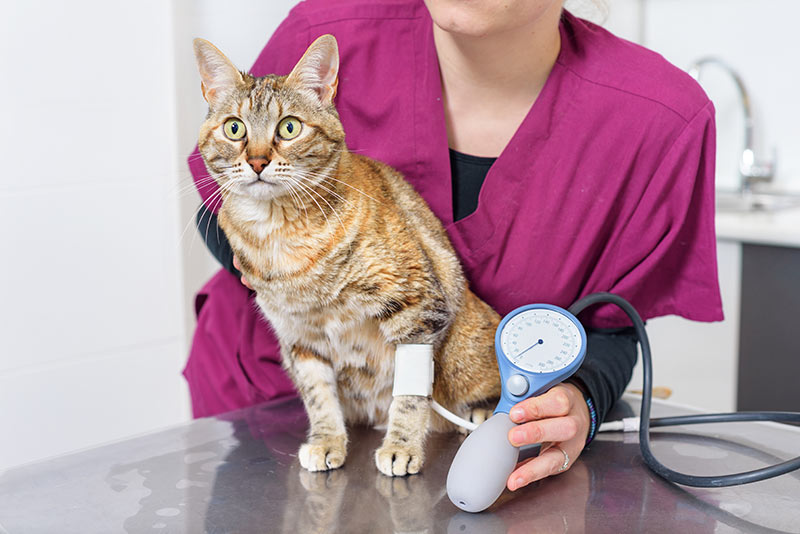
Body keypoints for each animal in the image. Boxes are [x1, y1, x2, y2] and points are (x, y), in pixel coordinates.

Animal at [194, 34, 500, 478]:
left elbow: (410, 396)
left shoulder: (419, 307)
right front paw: (327, 441)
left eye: (289, 127)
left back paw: (481, 414)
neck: (280, 234)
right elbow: (318, 396)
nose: (256, 161)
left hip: (465, 352)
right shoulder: (300, 337)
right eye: (235, 128)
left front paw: (402, 445)